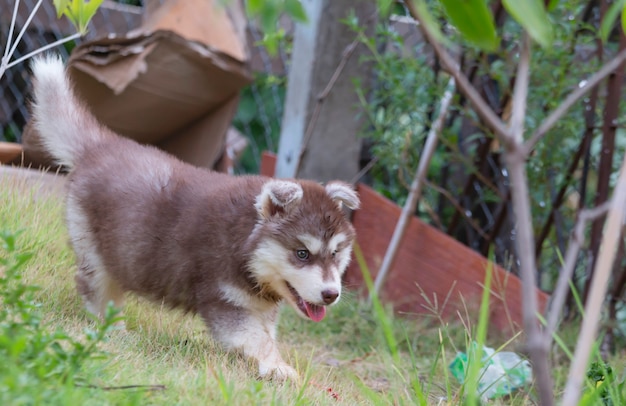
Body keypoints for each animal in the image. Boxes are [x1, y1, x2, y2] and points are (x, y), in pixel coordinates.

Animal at [30, 54, 360, 380]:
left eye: (336, 254)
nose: (331, 294)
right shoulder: (225, 301)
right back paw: (108, 328)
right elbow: (257, 339)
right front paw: (278, 367)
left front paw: (269, 364)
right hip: (94, 249)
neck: (246, 245)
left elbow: (266, 334)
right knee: (95, 288)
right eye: (302, 253)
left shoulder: (258, 307)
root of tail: (100, 146)